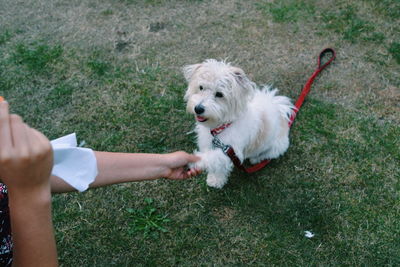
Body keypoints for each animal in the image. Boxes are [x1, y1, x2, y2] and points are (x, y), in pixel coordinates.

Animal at [183, 59, 296, 189]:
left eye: (219, 94)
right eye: (201, 87)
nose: (198, 109)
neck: (221, 127)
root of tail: (277, 106)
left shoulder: (231, 152)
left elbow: (213, 158)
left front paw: (194, 161)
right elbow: (217, 167)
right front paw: (215, 180)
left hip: (277, 146)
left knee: (267, 155)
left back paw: (255, 159)